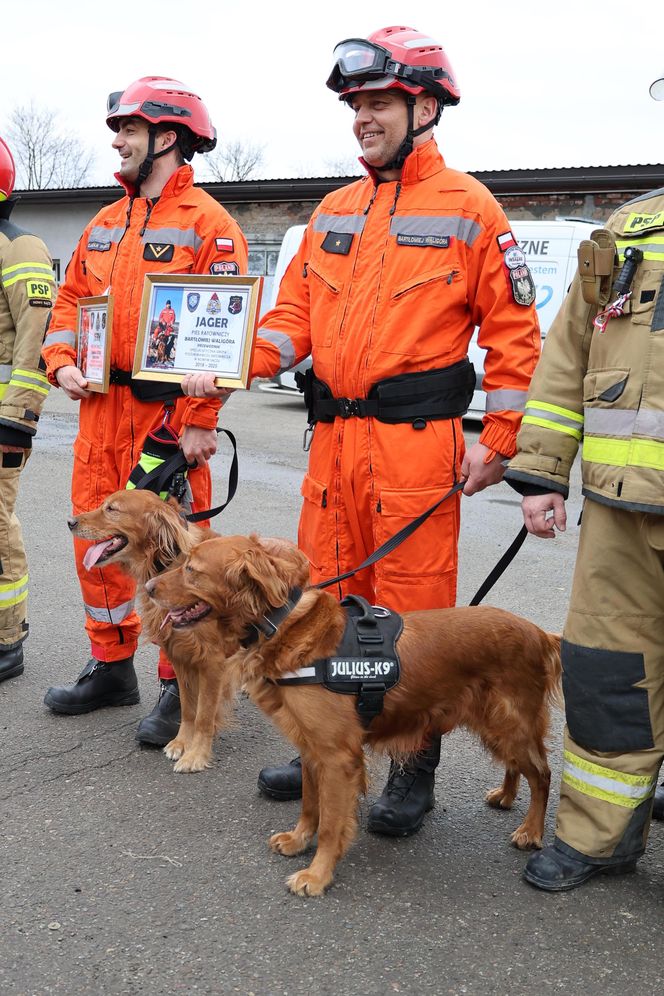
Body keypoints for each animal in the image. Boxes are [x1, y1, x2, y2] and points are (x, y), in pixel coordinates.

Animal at [145, 532, 560, 900]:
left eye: (192, 569)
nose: (147, 586)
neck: (283, 624)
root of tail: (540, 633)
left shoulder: (337, 757)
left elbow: (331, 823)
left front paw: (317, 874)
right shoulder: (312, 749)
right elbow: (310, 805)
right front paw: (298, 840)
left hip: (511, 724)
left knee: (542, 773)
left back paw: (531, 831)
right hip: (497, 725)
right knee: (517, 766)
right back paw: (505, 796)